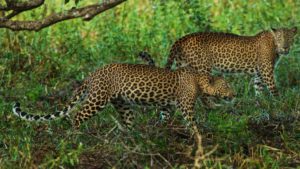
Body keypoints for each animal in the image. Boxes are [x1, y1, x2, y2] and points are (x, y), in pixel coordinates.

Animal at [12, 62, 234, 130]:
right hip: (97, 99)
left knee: (127, 120)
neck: (199, 80)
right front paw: (199, 136)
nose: (235, 94)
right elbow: (193, 123)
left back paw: (130, 135)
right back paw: (76, 135)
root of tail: (93, 73)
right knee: (77, 115)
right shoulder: (186, 105)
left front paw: (160, 129)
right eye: (227, 86)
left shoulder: (167, 105)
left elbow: (164, 116)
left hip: (122, 104)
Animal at [163, 27, 296, 96]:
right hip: (201, 68)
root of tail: (183, 38)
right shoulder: (266, 71)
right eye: (279, 38)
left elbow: (259, 89)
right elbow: (274, 90)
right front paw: (278, 104)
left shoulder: (259, 73)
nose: (285, 47)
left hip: (182, 65)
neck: (274, 44)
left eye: (289, 38)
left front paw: (262, 105)